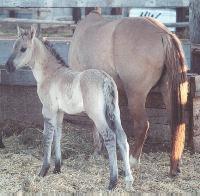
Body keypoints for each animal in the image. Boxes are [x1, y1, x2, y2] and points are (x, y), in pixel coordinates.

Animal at [5, 26, 133, 190]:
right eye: (13, 47)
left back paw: (113, 181)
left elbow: (47, 137)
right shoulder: (59, 112)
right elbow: (58, 134)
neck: (50, 74)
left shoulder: (48, 110)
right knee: (122, 137)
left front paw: (43, 170)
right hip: (115, 112)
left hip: (97, 115)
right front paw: (57, 167)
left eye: (23, 49)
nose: (8, 67)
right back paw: (129, 179)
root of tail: (105, 79)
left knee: (110, 137)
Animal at [68, 11, 188, 175]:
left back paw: (132, 161)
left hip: (136, 95)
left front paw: (97, 150)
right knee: (176, 124)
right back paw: (175, 166)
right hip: (168, 91)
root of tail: (163, 33)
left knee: (142, 125)